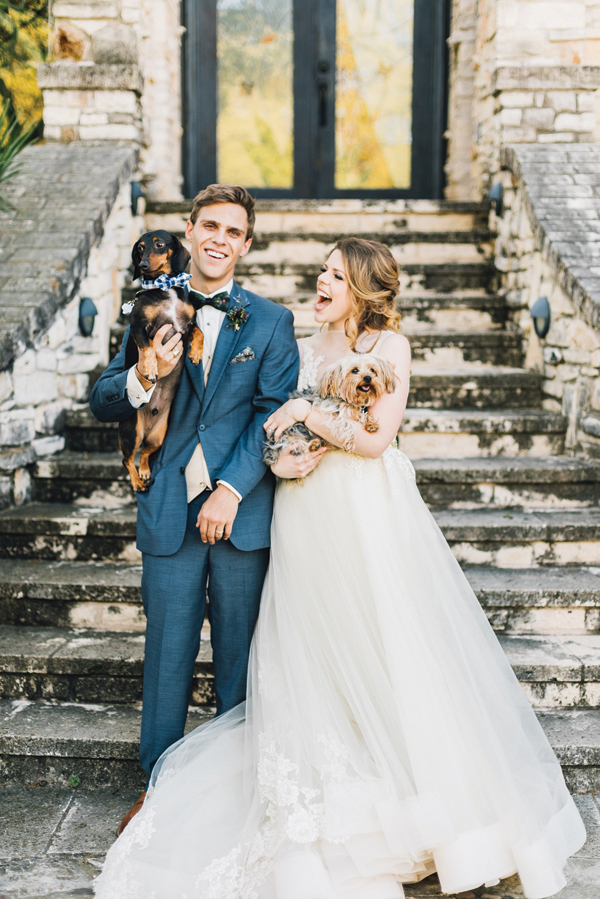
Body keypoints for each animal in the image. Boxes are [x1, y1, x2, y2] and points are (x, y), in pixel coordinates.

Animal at [264, 352, 396, 468]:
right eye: (354, 370)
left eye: (372, 370)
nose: (368, 377)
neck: (348, 400)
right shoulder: (327, 412)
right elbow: (347, 424)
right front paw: (349, 442)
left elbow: (358, 414)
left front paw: (371, 423)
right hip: (287, 437)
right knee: (296, 448)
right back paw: (313, 445)